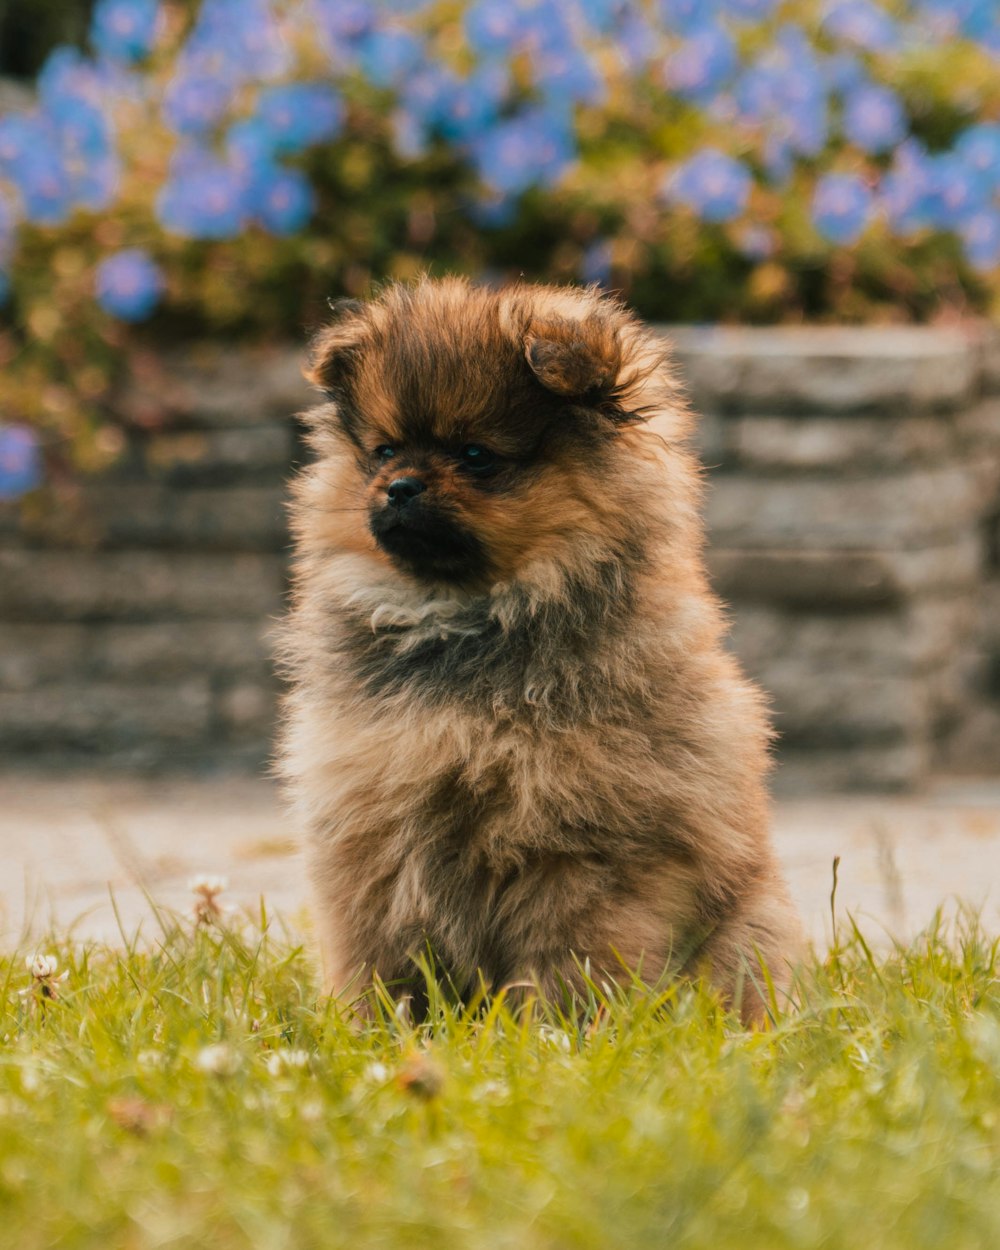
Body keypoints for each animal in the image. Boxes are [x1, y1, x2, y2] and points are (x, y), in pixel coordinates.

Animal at [278, 278, 805, 1020]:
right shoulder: (368, 831)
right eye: (383, 452)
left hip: (743, 929)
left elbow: (567, 964)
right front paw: (371, 1029)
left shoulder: (578, 852)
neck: (468, 617)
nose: (399, 488)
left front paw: (552, 1034)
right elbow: (376, 959)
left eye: (476, 456)